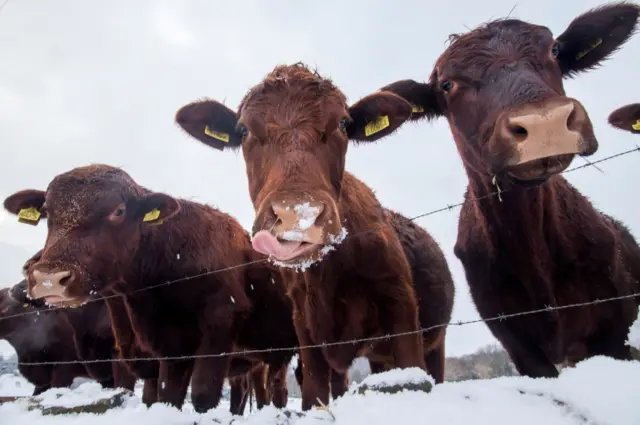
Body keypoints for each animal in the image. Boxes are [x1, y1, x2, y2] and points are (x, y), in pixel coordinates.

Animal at [3, 164, 298, 412]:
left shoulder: (219, 329)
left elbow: (202, 395)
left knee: (276, 390)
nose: (49, 278)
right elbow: (166, 396)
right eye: (47, 213)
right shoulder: (167, 347)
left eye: (118, 210)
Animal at [175, 61, 456, 410]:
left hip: (436, 340)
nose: (298, 215)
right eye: (243, 131)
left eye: (343, 123)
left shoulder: (400, 302)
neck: (328, 275)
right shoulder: (305, 325)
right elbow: (314, 392)